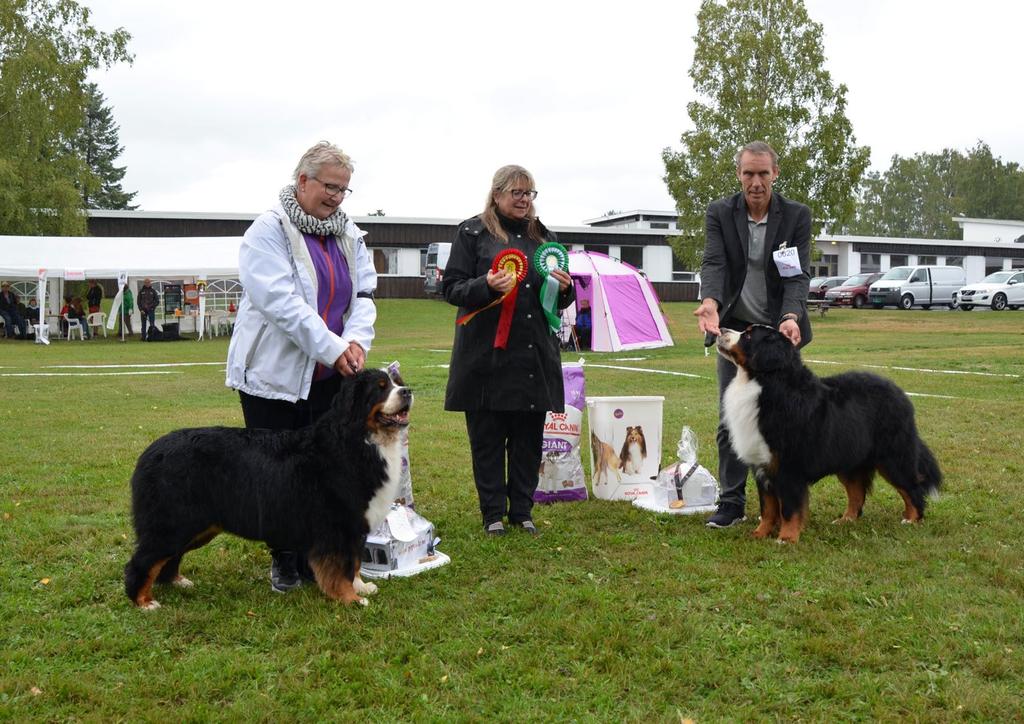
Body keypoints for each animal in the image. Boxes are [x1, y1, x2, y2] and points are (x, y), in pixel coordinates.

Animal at [126, 364, 411, 610]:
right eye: (381, 387)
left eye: (398, 382)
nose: (407, 392)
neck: (359, 439)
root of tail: (151, 452)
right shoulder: (336, 525)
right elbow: (339, 568)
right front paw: (350, 598)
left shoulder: (355, 524)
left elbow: (353, 562)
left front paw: (360, 587)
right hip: (174, 522)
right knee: (142, 561)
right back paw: (144, 601)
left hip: (197, 526)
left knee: (168, 556)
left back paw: (176, 581)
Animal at [716, 327, 937, 544]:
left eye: (748, 335)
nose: (720, 329)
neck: (764, 384)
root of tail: (899, 392)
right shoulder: (762, 465)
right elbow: (768, 508)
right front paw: (760, 534)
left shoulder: (789, 466)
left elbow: (789, 509)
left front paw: (786, 538)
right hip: (850, 459)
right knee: (857, 494)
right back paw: (846, 520)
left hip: (892, 457)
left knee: (911, 487)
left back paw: (912, 519)